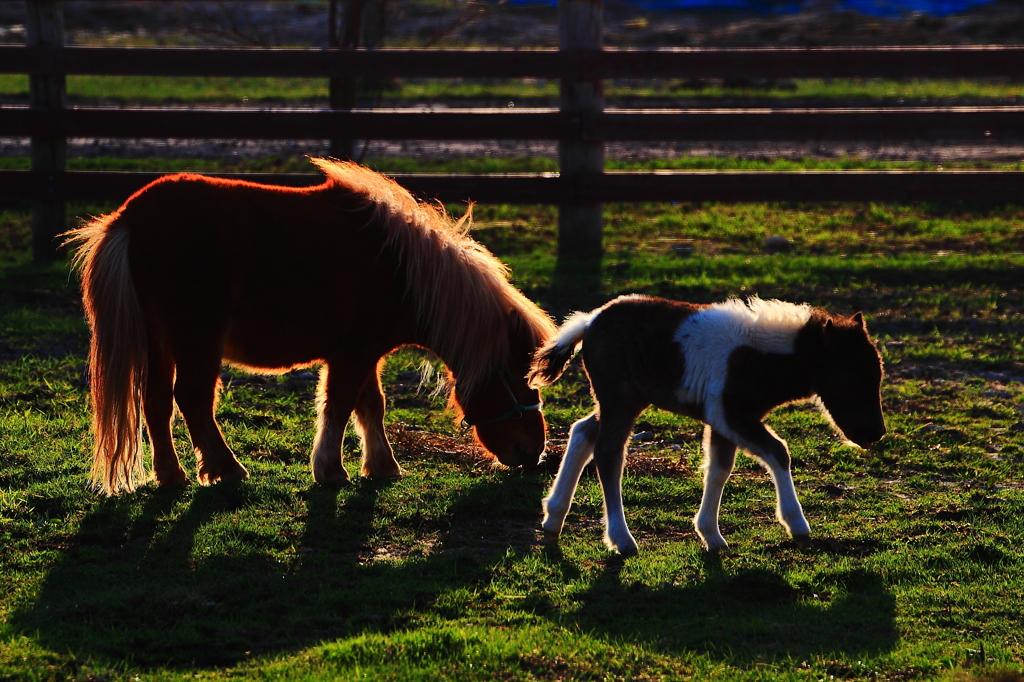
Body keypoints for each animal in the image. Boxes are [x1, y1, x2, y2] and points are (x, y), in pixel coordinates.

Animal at [68, 157, 557, 493]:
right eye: (518, 377)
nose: (533, 453)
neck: (399, 267)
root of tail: (131, 218)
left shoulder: (364, 354)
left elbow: (370, 405)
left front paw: (381, 466)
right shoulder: (353, 353)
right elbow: (339, 405)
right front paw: (331, 471)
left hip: (161, 341)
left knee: (155, 400)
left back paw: (173, 476)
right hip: (196, 340)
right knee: (191, 399)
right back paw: (227, 469)